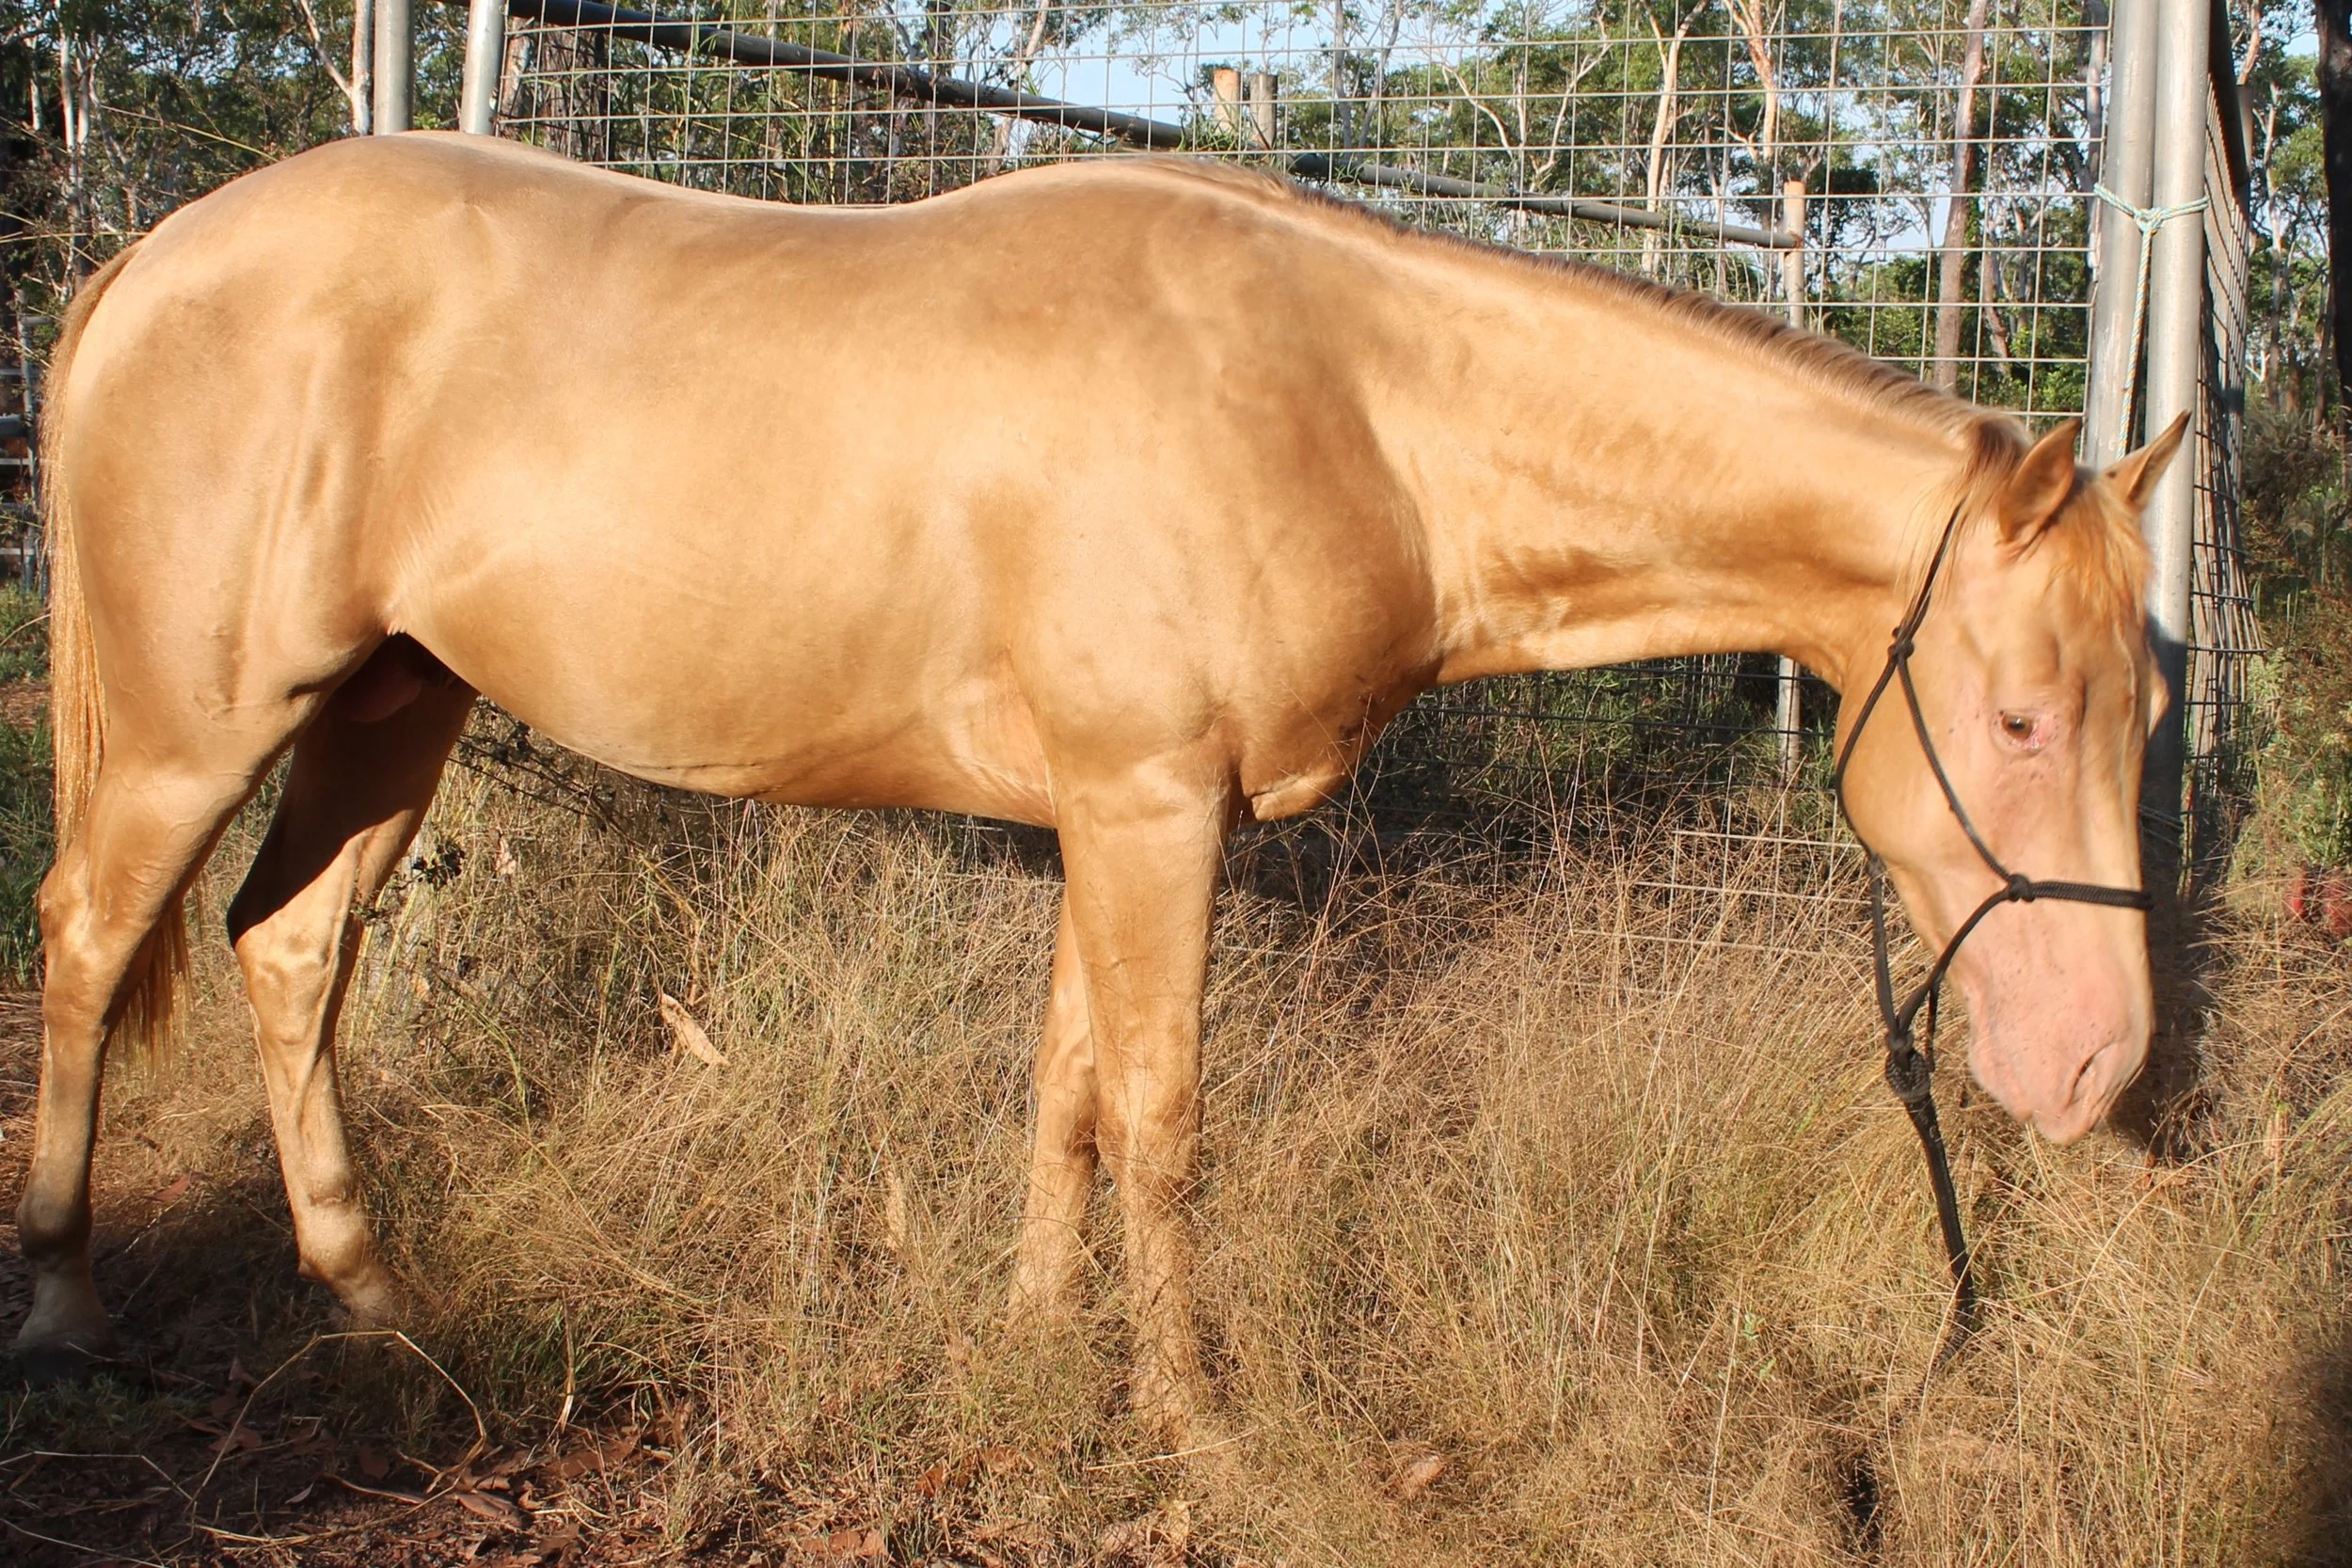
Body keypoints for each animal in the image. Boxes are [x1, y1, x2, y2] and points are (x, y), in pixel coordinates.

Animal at [15, 133, 2184, 1428]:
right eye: (2019, 718)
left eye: (2142, 707)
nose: (2095, 1064)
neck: (1350, 403)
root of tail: (152, 262)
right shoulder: (1152, 810)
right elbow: (1160, 1113)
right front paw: (1197, 1416)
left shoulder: (1110, 817)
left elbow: (1062, 1092)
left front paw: (1038, 1342)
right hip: (207, 725)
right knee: (90, 938)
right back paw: (66, 1307)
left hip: (390, 706)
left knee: (291, 951)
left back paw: (374, 1293)